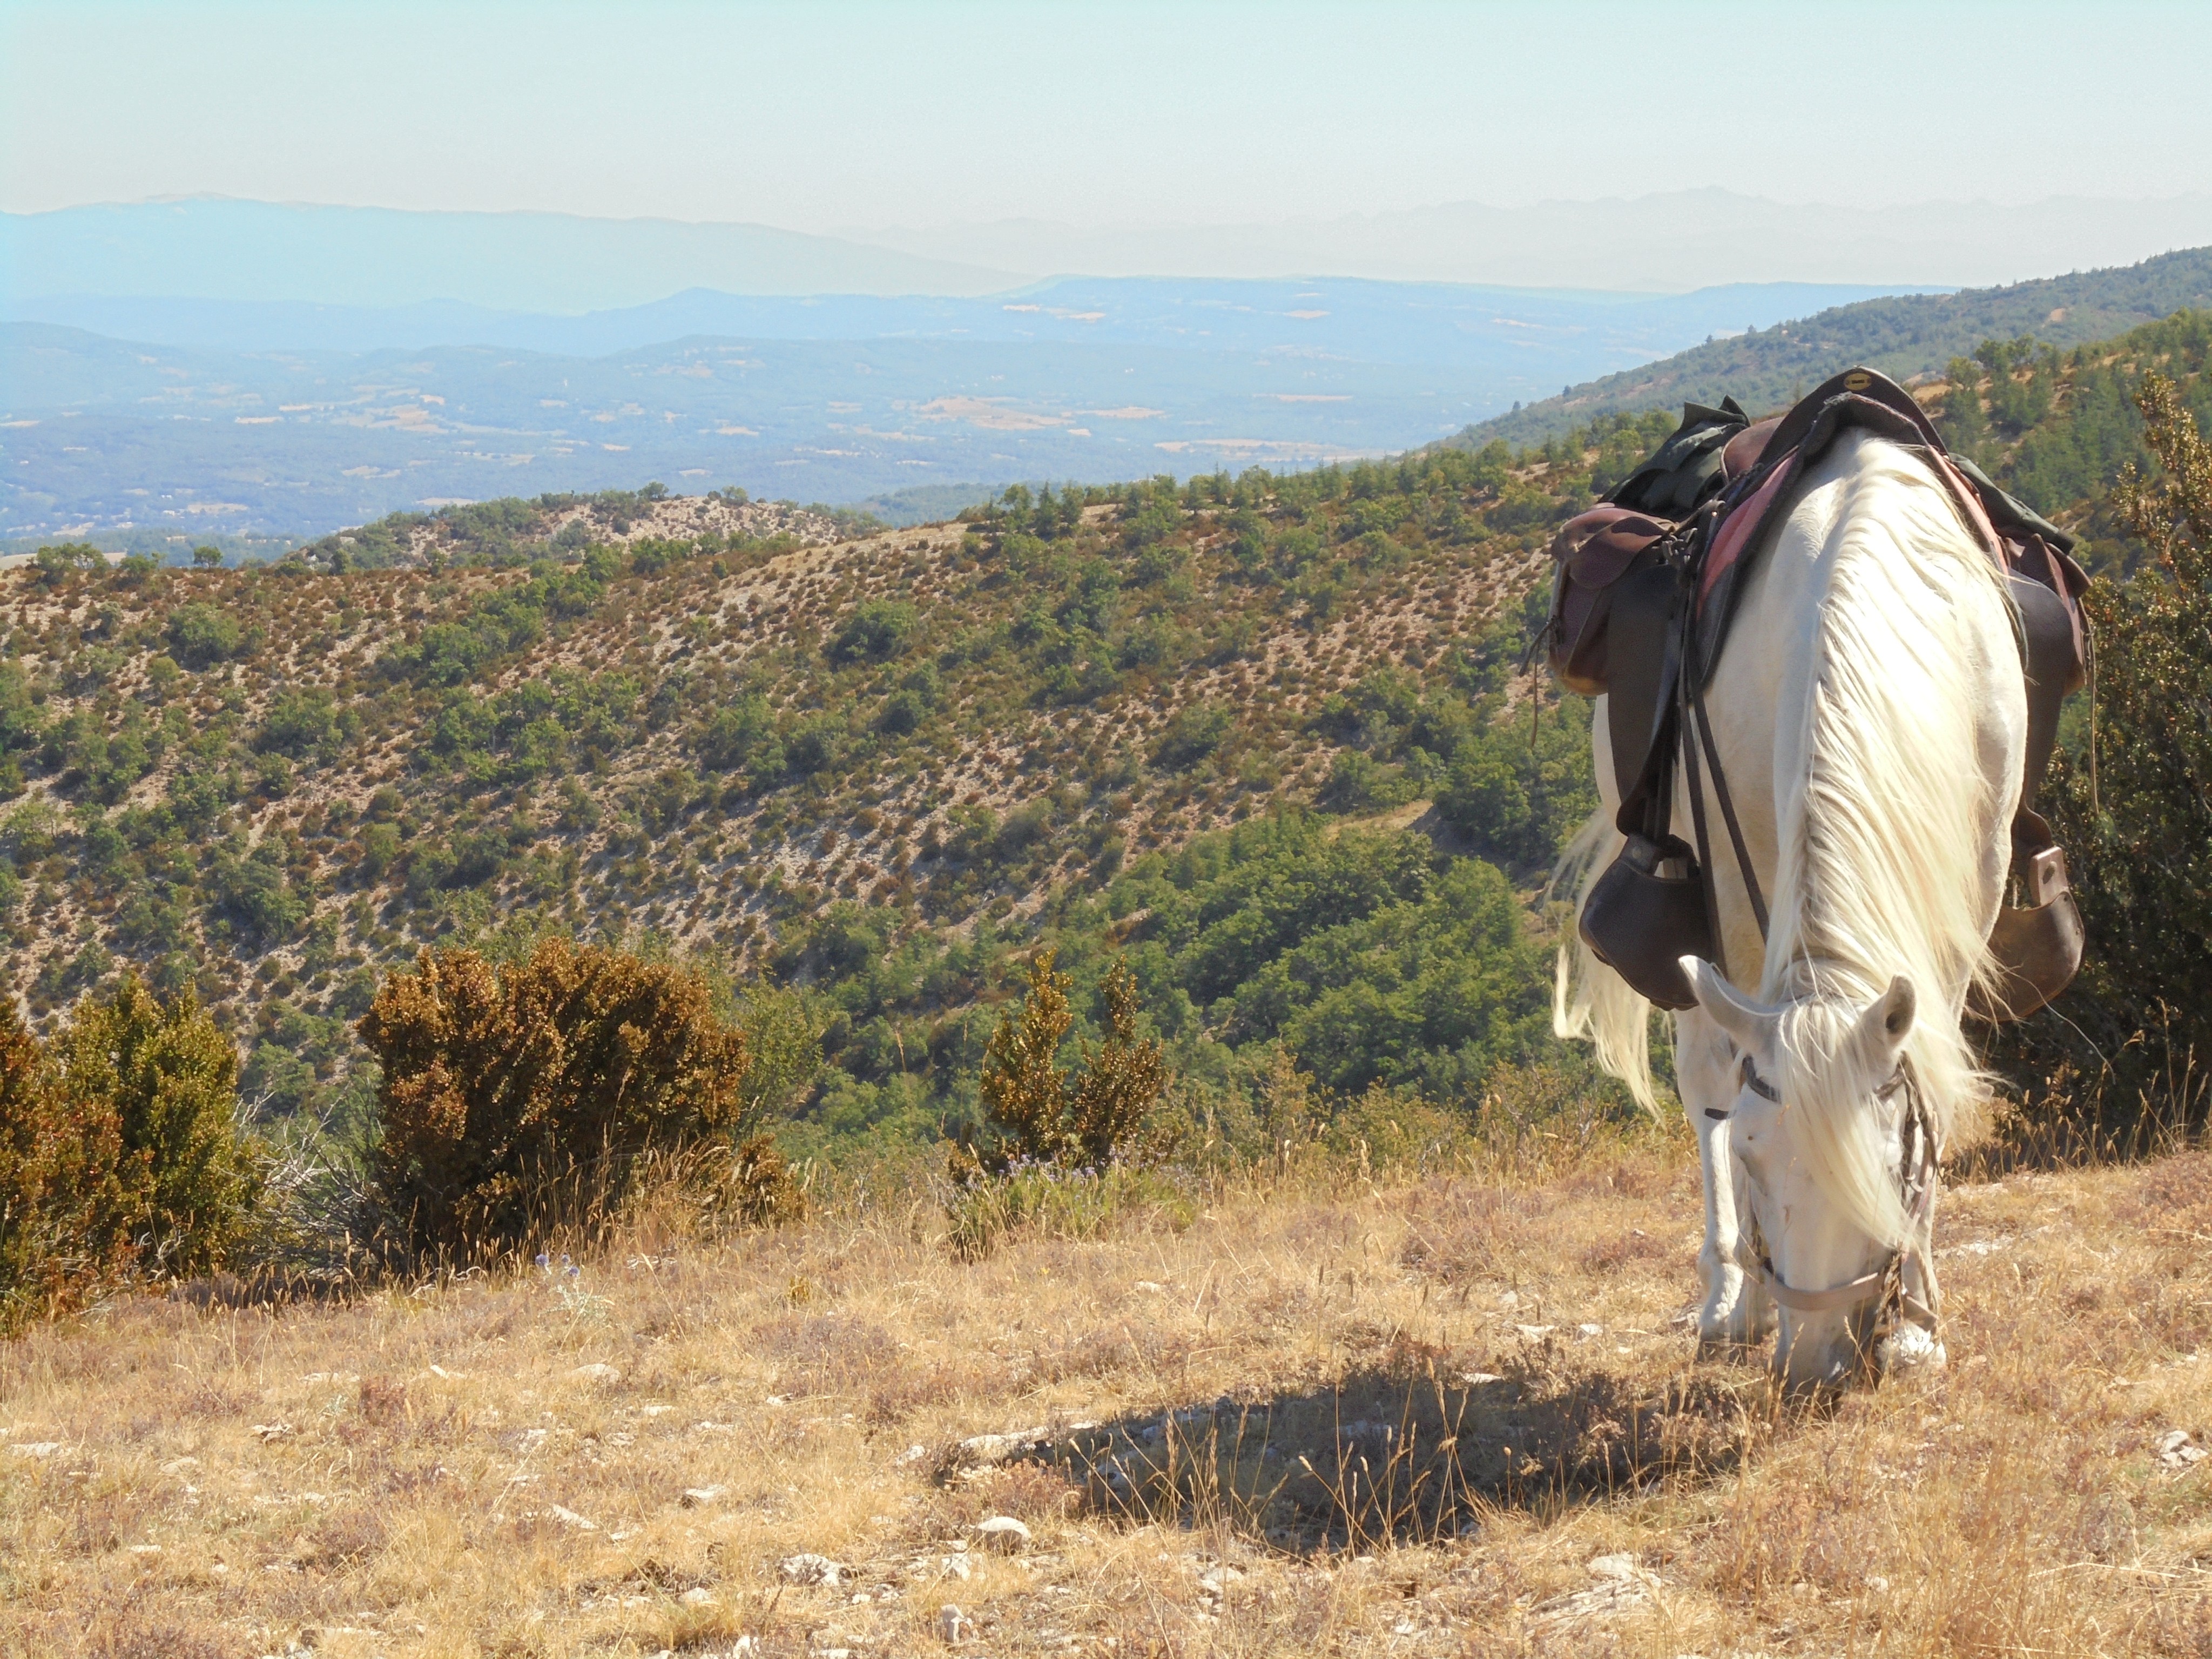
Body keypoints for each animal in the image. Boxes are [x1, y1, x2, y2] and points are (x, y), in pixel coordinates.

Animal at [1555, 426, 2025, 1393]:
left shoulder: (1979, 874)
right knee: (1704, 1072)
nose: (1812, 1365)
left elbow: (1933, 1063)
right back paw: (1729, 1299)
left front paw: (1919, 1324)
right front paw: (1759, 1300)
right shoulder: (1737, 894)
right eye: (1755, 1158)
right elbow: (1731, 1079)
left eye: (1890, 1160)